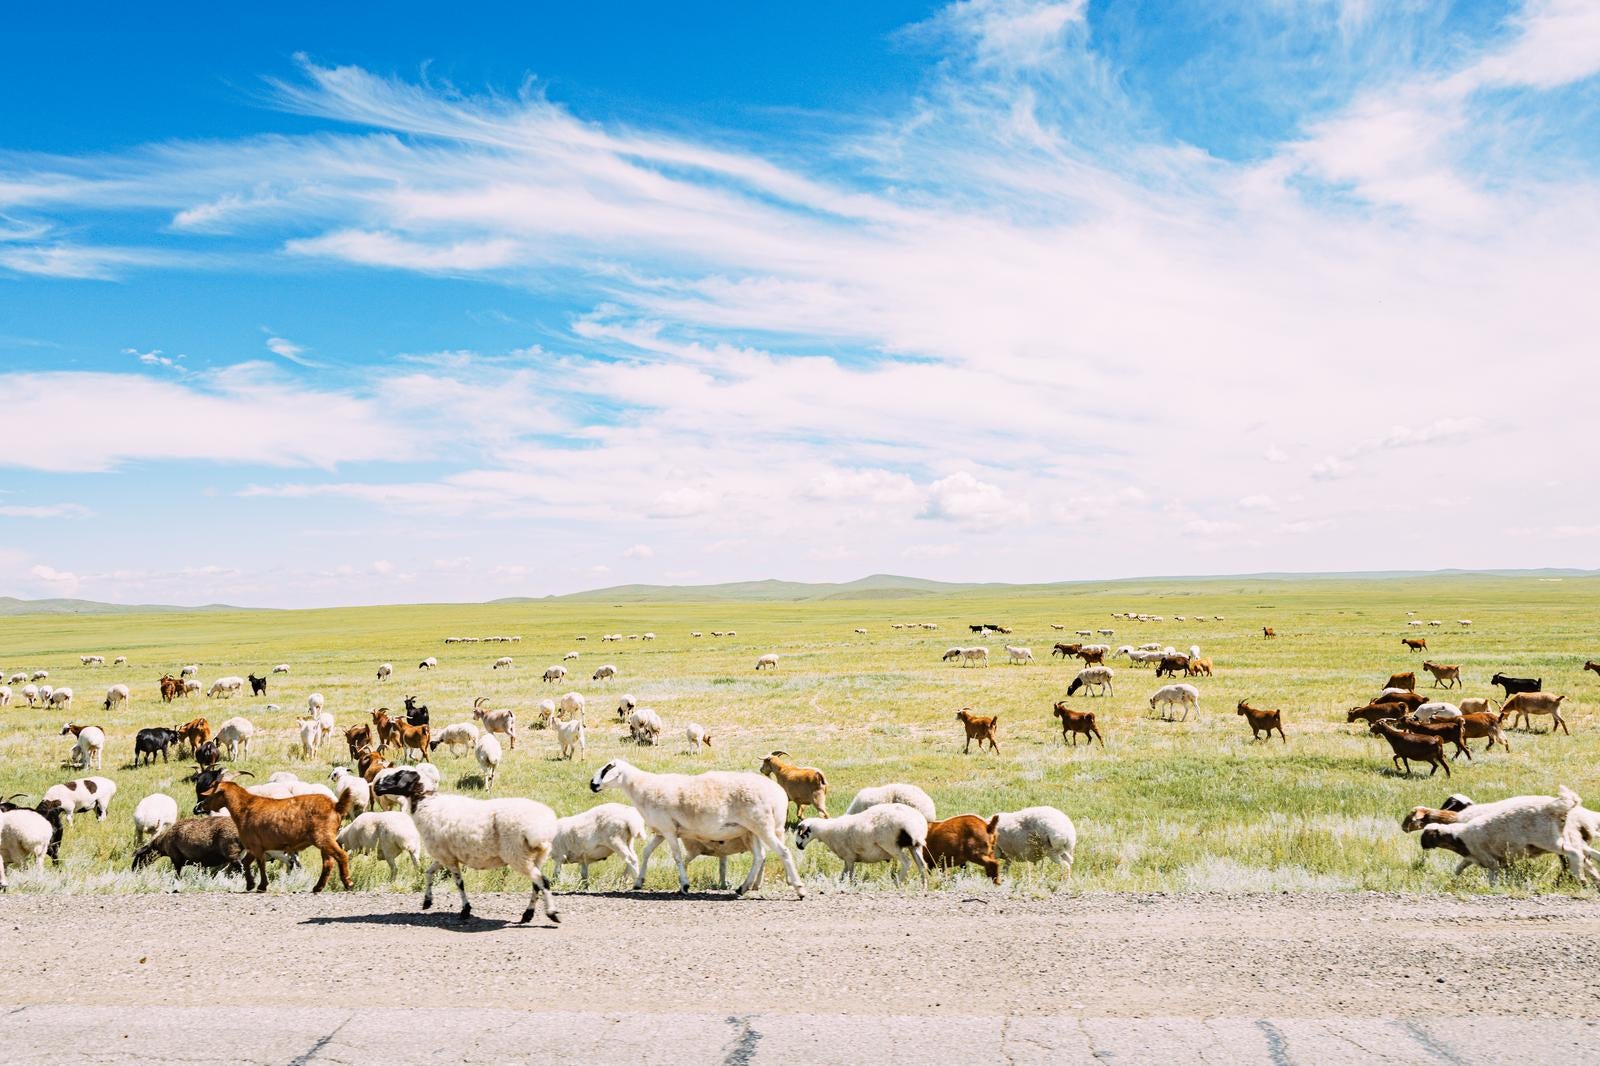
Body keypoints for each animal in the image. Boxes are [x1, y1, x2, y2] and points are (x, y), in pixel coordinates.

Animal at [192, 771, 355, 889]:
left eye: (211, 793)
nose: (197, 808)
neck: (245, 807)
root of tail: (336, 806)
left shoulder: (256, 845)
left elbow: (260, 864)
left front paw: (262, 885)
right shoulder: (254, 846)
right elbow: (246, 863)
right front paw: (250, 885)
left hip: (324, 838)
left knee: (341, 856)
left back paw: (348, 883)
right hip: (324, 841)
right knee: (328, 863)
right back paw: (318, 887)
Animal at [371, 765, 560, 921]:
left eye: (398, 775)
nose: (376, 787)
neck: (427, 804)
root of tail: (541, 828)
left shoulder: (448, 858)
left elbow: (459, 883)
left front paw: (465, 910)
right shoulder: (444, 855)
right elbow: (429, 873)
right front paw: (427, 901)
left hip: (517, 855)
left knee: (543, 881)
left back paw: (551, 913)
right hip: (537, 856)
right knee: (537, 884)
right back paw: (528, 915)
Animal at [588, 755, 806, 896]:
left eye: (607, 768)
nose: (592, 784)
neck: (641, 787)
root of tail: (779, 794)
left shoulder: (668, 829)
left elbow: (677, 857)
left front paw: (684, 886)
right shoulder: (661, 830)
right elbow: (647, 852)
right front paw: (639, 882)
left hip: (763, 825)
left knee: (784, 852)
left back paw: (799, 888)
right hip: (751, 830)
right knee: (760, 856)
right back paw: (743, 888)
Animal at [793, 797, 934, 877]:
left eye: (801, 833)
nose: (798, 846)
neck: (827, 831)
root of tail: (914, 825)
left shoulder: (849, 857)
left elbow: (848, 876)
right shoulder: (848, 859)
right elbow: (843, 875)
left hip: (891, 845)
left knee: (906, 862)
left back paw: (897, 883)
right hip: (915, 846)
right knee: (922, 865)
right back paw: (923, 887)